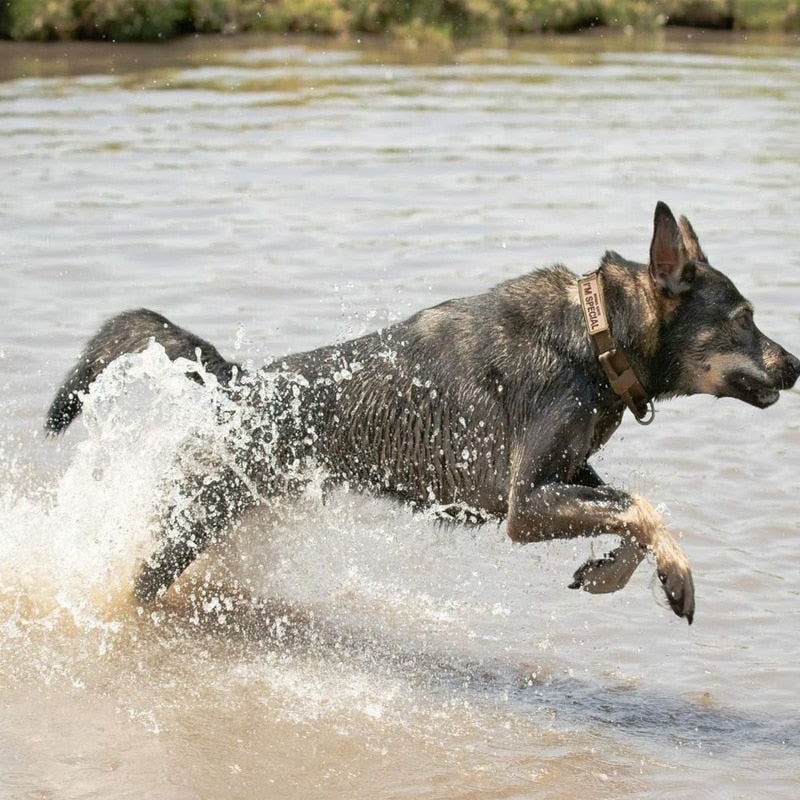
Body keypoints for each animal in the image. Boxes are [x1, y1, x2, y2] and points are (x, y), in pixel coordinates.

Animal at [45, 202, 800, 624]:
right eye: (743, 319)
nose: (795, 365)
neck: (598, 334)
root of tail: (240, 382)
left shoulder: (564, 475)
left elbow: (633, 514)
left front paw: (610, 574)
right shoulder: (525, 506)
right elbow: (643, 508)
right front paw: (677, 576)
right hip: (189, 523)